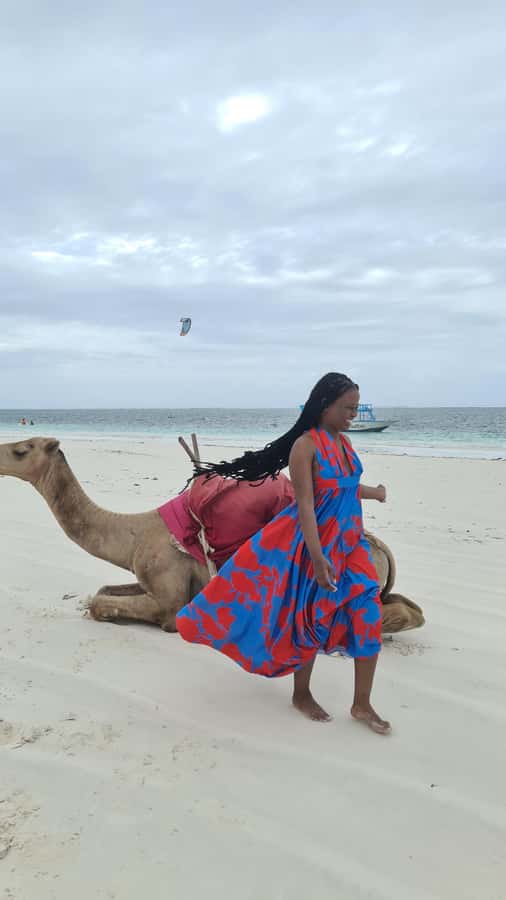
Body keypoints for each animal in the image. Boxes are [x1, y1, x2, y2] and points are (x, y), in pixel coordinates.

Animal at [0, 437, 424, 634]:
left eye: (22, 449)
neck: (136, 533)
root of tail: (381, 548)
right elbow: (103, 591)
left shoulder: (168, 596)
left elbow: (103, 603)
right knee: (408, 608)